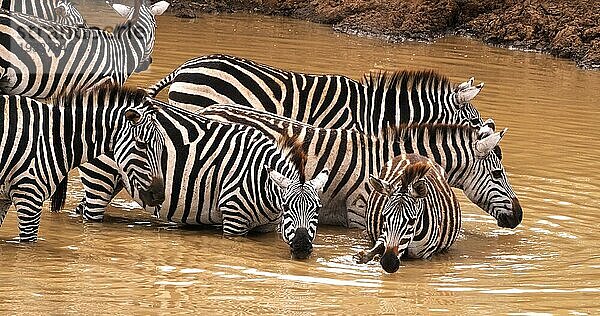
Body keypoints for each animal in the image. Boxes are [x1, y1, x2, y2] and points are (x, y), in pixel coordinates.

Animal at [0, 84, 164, 242]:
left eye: (162, 147)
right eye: (141, 144)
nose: (160, 196)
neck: (54, 139)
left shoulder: (6, 199)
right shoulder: (29, 198)